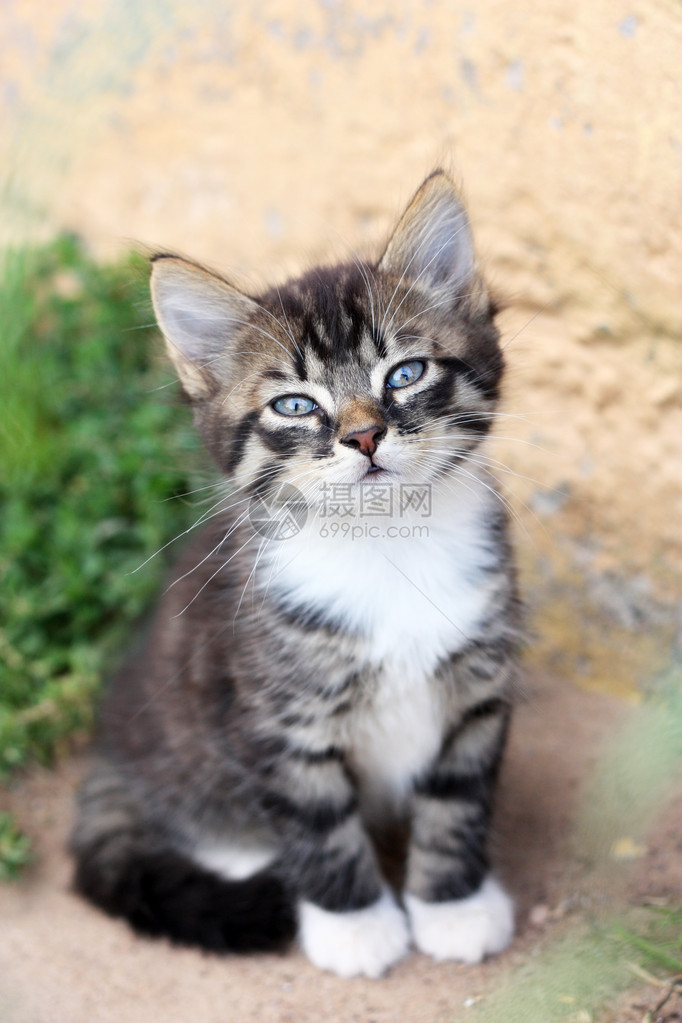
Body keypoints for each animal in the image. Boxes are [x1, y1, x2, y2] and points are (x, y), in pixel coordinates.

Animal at [72, 171, 523, 977]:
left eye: (405, 373)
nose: (365, 435)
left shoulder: (479, 684)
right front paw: (356, 925)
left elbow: (458, 800)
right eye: (294, 405)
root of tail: (107, 747)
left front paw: (453, 904)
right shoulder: (271, 714)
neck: (386, 543)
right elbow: (317, 824)